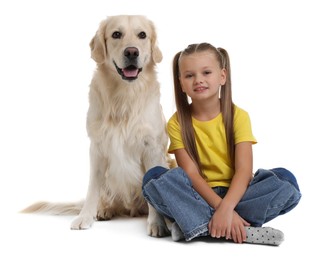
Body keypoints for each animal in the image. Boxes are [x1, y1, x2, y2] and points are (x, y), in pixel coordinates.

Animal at [22, 14, 172, 238]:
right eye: (116, 34)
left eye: (142, 35)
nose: (131, 52)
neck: (125, 97)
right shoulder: (97, 148)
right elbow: (93, 188)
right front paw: (85, 217)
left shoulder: (152, 147)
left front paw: (157, 223)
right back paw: (103, 210)